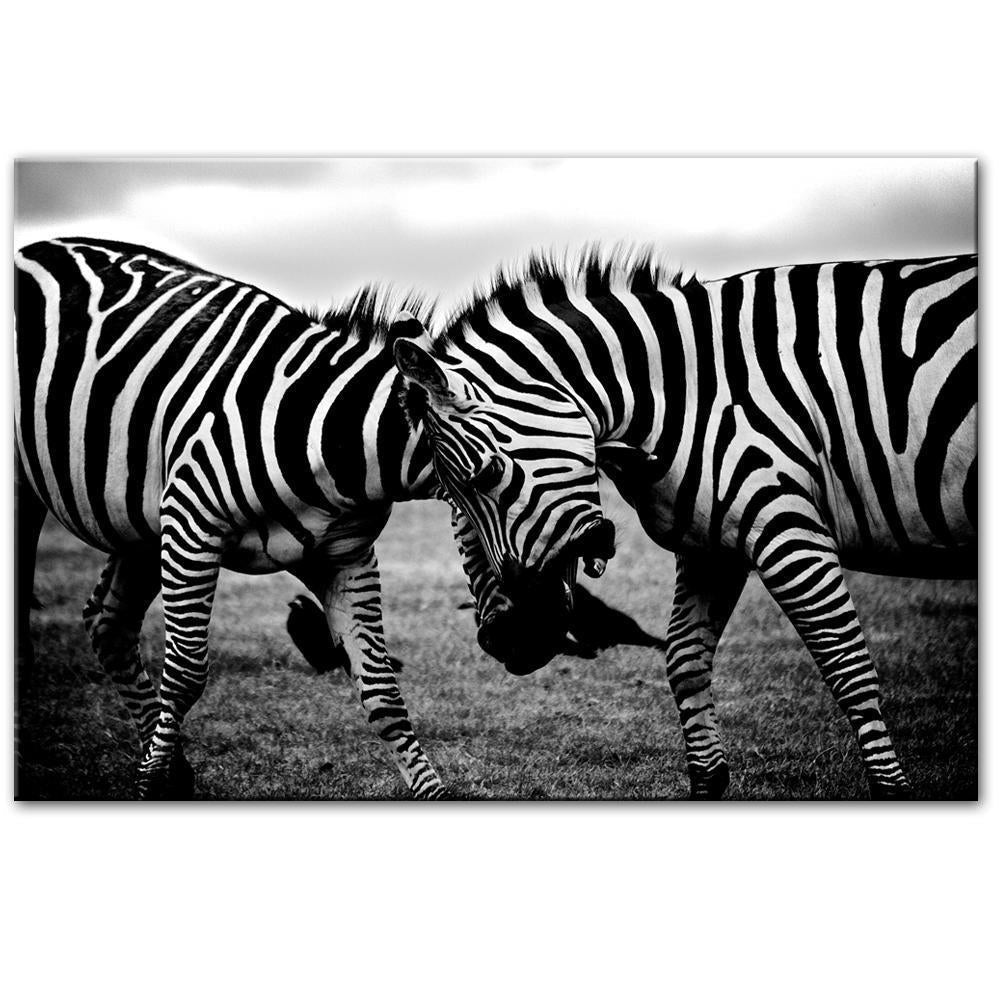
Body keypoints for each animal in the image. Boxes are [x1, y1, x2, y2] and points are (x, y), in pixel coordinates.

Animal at [14, 236, 546, 800]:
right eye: (491, 480)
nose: (531, 644)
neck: (333, 437)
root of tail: (39, 246)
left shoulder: (341, 557)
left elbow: (381, 688)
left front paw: (432, 791)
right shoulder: (190, 525)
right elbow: (184, 672)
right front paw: (150, 784)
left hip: (140, 521)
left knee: (107, 623)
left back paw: (172, 769)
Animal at [389, 247, 977, 799]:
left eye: (487, 475)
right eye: (448, 498)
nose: (509, 642)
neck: (687, 392)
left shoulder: (787, 528)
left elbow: (848, 667)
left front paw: (891, 790)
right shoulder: (711, 545)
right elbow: (684, 660)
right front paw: (707, 781)